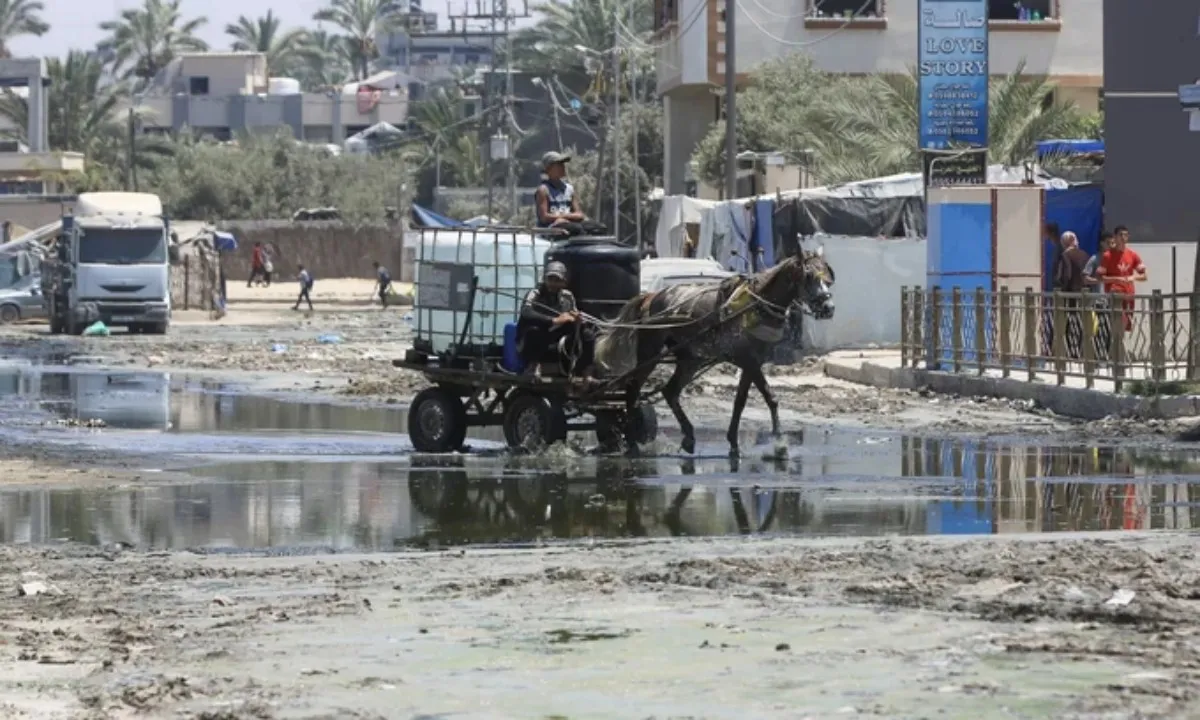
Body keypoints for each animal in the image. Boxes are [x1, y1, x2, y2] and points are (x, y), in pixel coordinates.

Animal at [595, 247, 840, 456]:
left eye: (827, 278)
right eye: (808, 276)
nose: (828, 308)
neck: (757, 306)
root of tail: (651, 296)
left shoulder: (753, 362)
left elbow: (744, 401)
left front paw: (735, 442)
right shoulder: (748, 360)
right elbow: (768, 398)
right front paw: (779, 444)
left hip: (690, 357)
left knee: (670, 391)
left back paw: (688, 437)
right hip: (650, 353)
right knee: (633, 390)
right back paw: (632, 442)